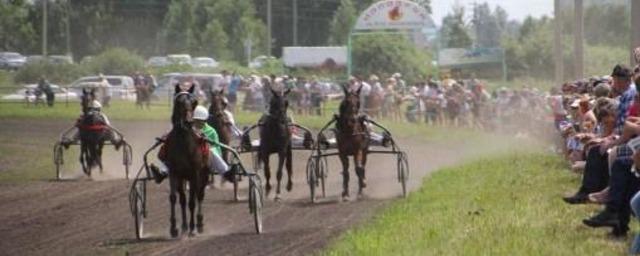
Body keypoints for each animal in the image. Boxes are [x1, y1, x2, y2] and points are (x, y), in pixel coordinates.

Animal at [165, 84, 208, 238]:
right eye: (179, 102)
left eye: (194, 102)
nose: (189, 122)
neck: (183, 143)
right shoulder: (174, 172)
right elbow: (174, 198)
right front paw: (174, 228)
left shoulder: (195, 173)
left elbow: (192, 201)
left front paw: (192, 228)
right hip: (183, 177)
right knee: (183, 198)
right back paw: (184, 226)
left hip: (203, 174)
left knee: (199, 195)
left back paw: (199, 224)